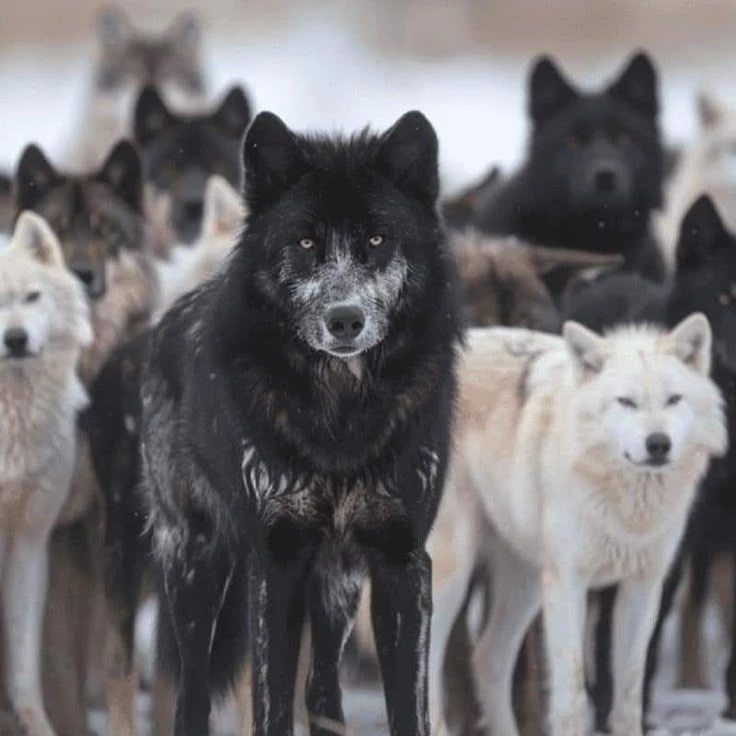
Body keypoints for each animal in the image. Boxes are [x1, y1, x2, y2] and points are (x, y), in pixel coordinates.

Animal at [138, 109, 462, 736]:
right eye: (306, 241)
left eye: (377, 239)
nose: (345, 320)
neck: (341, 414)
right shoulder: (276, 564)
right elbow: (269, 705)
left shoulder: (401, 562)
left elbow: (407, 709)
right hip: (196, 567)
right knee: (192, 697)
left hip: (336, 586)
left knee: (322, 692)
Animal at [427, 315, 727, 736]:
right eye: (626, 402)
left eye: (673, 399)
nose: (658, 444)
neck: (627, 507)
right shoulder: (570, 583)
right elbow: (572, 694)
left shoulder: (642, 587)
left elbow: (628, 695)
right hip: (453, 572)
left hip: (526, 581)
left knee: (488, 658)